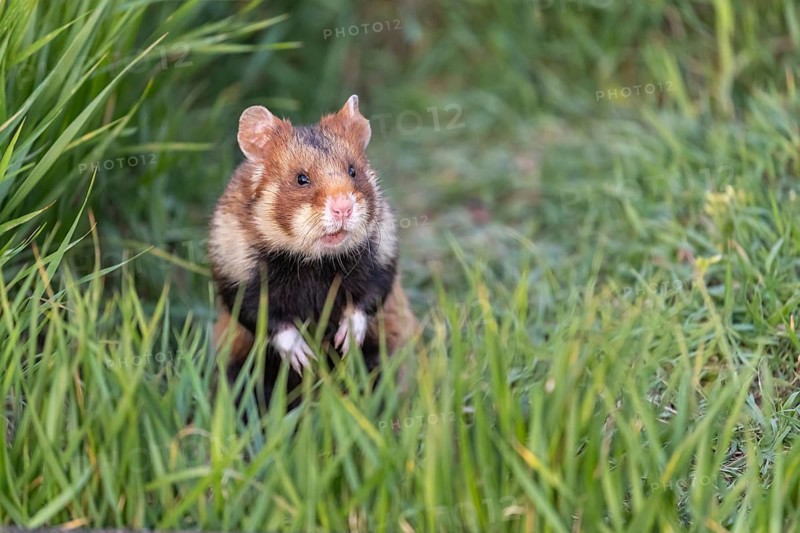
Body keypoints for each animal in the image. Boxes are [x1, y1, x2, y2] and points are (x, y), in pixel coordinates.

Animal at [209, 95, 416, 409]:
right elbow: (264, 317)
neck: (315, 264)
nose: (343, 208)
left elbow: (367, 298)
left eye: (353, 170)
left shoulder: (382, 259)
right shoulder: (236, 274)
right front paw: (304, 358)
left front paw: (344, 340)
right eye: (301, 178)